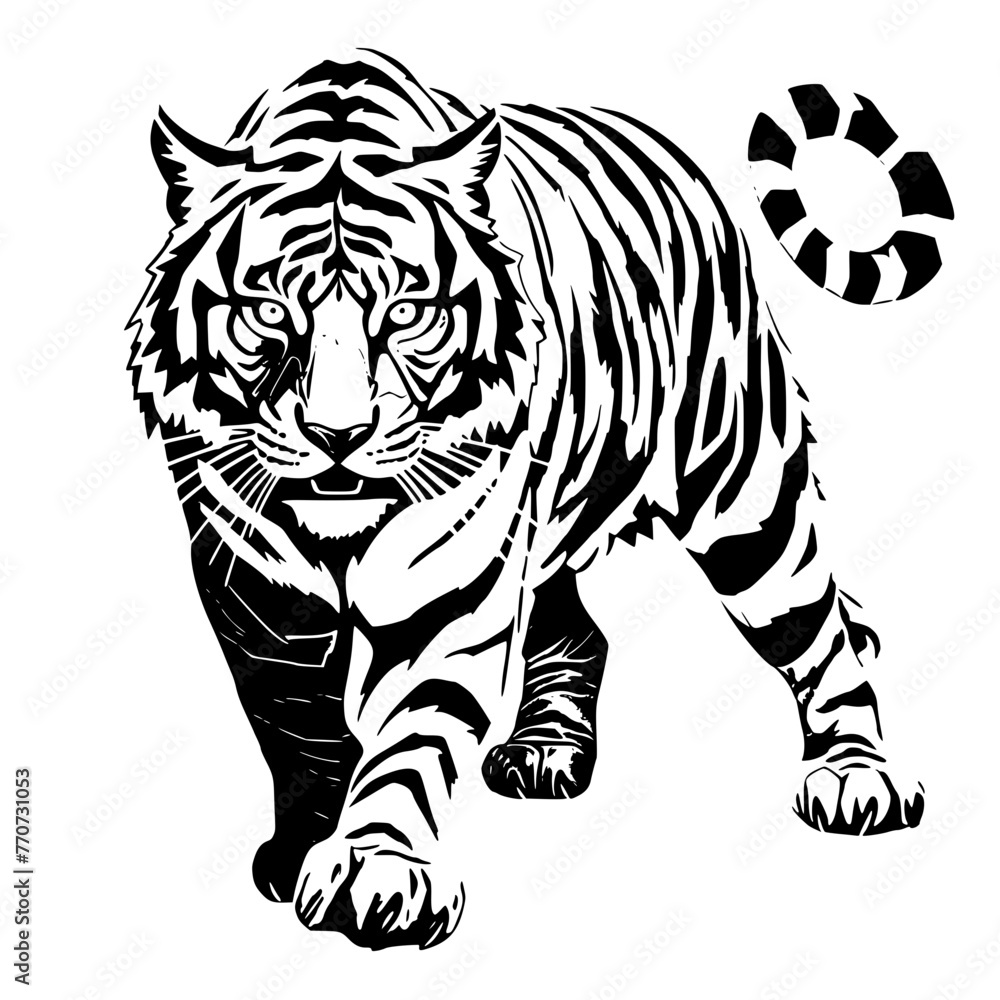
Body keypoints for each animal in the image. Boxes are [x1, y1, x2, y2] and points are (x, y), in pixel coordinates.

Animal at [128, 49, 925, 950]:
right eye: (266, 312)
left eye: (406, 313)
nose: (339, 434)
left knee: (824, 638)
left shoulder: (451, 585)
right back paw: (546, 751)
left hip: (747, 503)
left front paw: (376, 869)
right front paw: (305, 845)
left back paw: (857, 779)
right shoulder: (256, 588)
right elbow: (295, 723)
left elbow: (410, 735)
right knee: (582, 631)